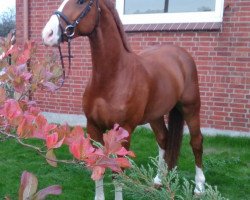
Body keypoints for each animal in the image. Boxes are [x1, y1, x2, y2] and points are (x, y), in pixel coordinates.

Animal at [41, 0, 205, 200]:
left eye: (81, 2)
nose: (47, 34)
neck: (114, 76)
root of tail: (181, 55)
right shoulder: (93, 128)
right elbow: (99, 165)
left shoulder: (124, 132)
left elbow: (118, 171)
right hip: (156, 115)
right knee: (163, 139)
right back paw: (159, 180)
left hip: (191, 108)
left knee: (196, 142)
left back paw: (199, 187)